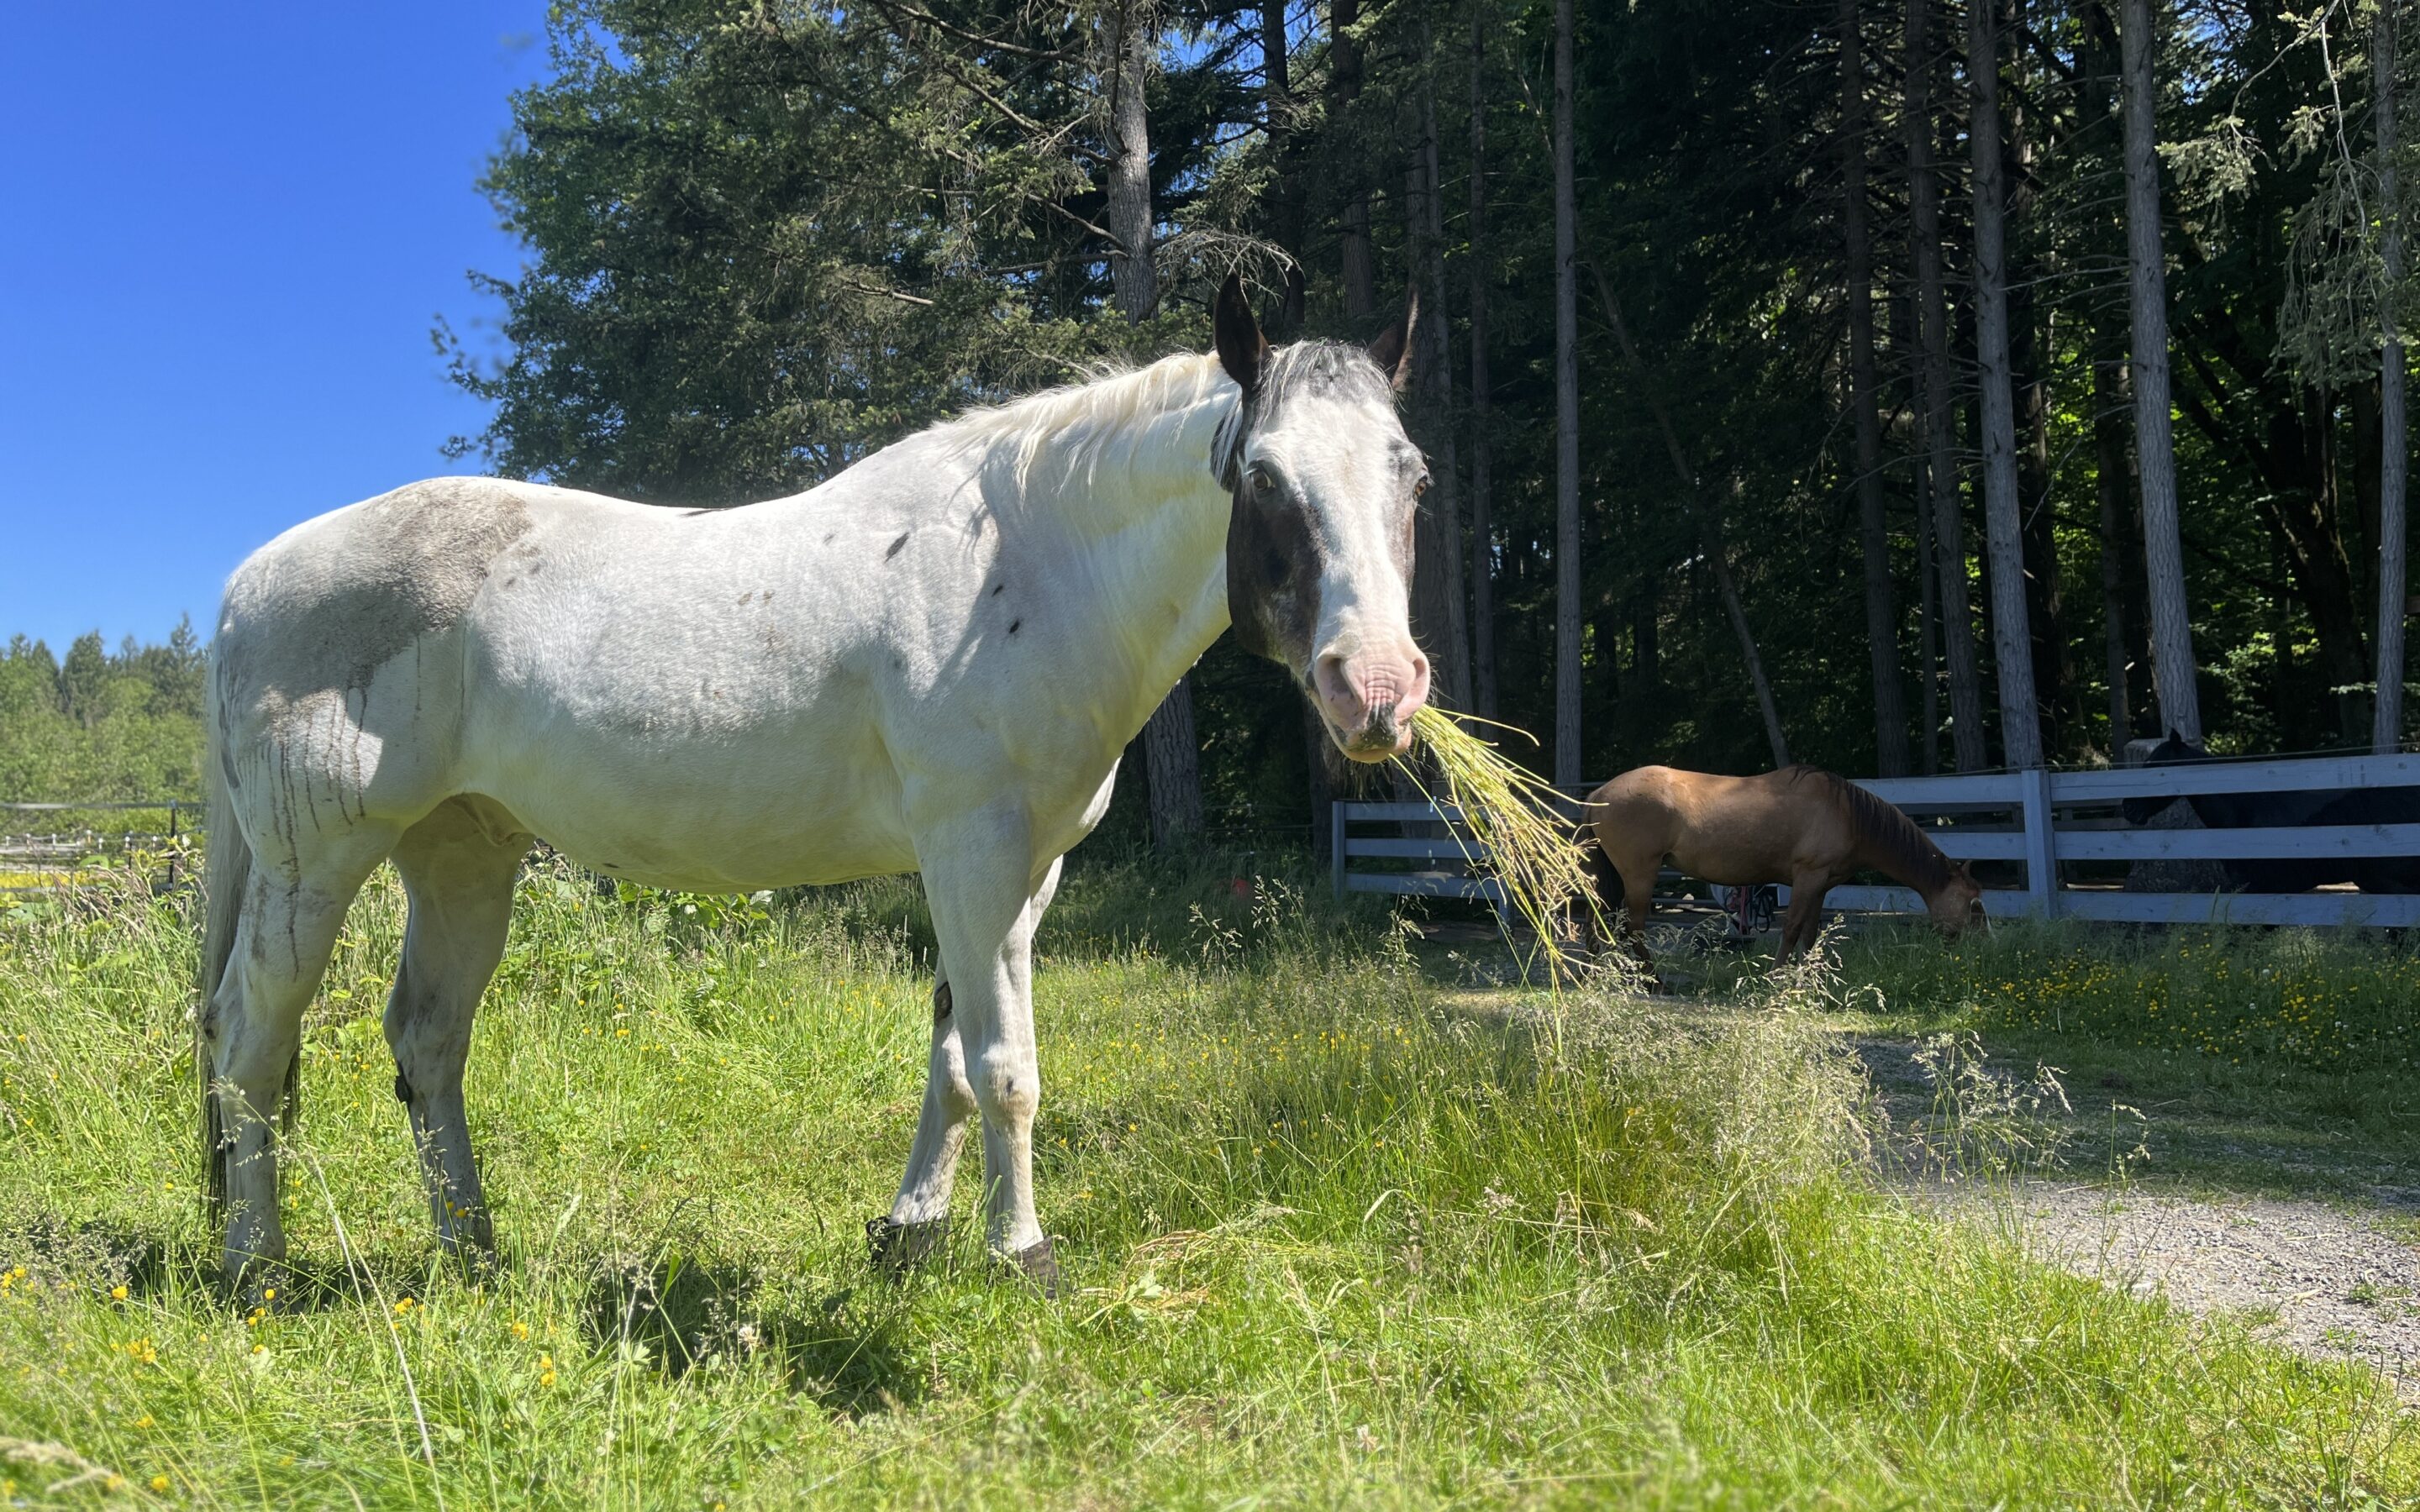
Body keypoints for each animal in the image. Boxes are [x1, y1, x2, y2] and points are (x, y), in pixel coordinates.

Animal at [203, 281, 1432, 1296]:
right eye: (1265, 478)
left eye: (1412, 473)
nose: (1376, 687)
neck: (1024, 563)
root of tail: (244, 583)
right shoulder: (972, 852)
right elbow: (1006, 1068)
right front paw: (1024, 1257)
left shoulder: (1026, 872)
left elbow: (954, 1059)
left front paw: (910, 1236)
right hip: (313, 867)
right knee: (248, 1041)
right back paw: (257, 1265)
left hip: (462, 853)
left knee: (426, 1042)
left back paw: (473, 1253)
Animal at [1577, 759, 1994, 963]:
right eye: (1974, 906)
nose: (1985, 947)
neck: (1846, 813)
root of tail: (1599, 793)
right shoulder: (1808, 877)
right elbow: (1792, 929)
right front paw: (1778, 977)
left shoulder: (1821, 885)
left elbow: (1809, 933)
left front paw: (1808, 981)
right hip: (1640, 874)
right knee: (1633, 928)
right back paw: (1654, 980)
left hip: (1610, 877)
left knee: (1597, 924)